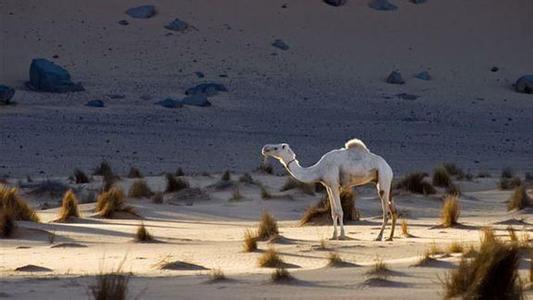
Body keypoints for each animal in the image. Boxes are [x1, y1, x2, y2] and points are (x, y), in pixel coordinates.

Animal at [262, 139, 394, 241]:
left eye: (276, 147)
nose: (264, 148)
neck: (319, 169)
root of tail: (389, 167)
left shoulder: (335, 185)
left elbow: (340, 211)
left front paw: (342, 235)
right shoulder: (328, 186)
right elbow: (333, 212)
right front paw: (333, 235)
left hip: (383, 177)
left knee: (385, 211)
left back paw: (379, 236)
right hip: (380, 180)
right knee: (391, 208)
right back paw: (390, 237)